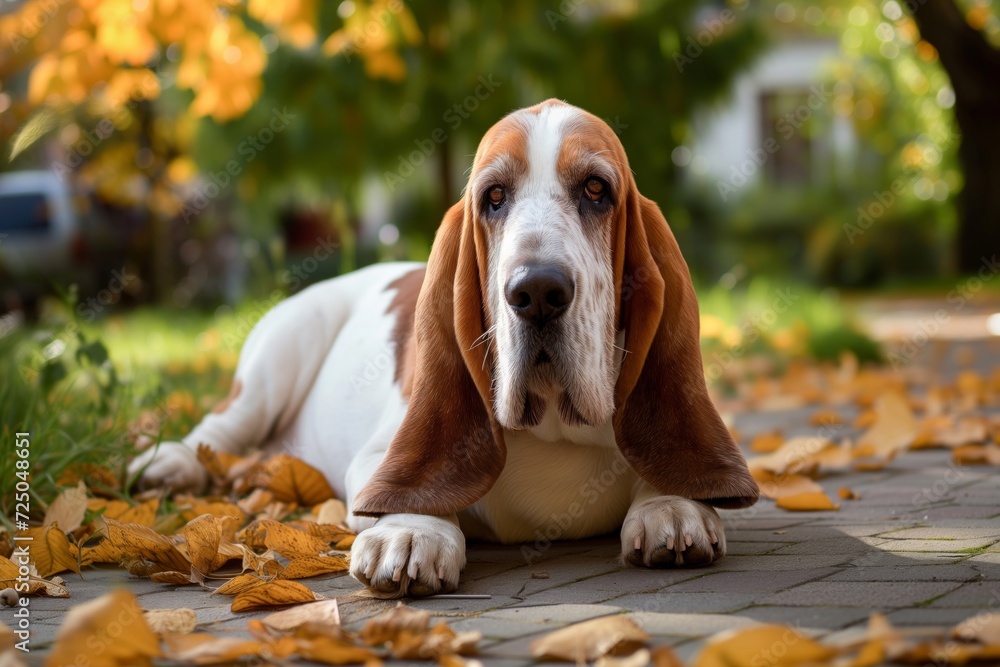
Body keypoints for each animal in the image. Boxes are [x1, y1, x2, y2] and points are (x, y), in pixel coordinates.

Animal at [133, 100, 756, 600]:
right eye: (494, 197)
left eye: (596, 190)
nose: (537, 291)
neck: (554, 429)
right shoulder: (377, 457)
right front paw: (412, 531)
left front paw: (671, 506)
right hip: (282, 350)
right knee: (221, 427)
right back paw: (170, 463)